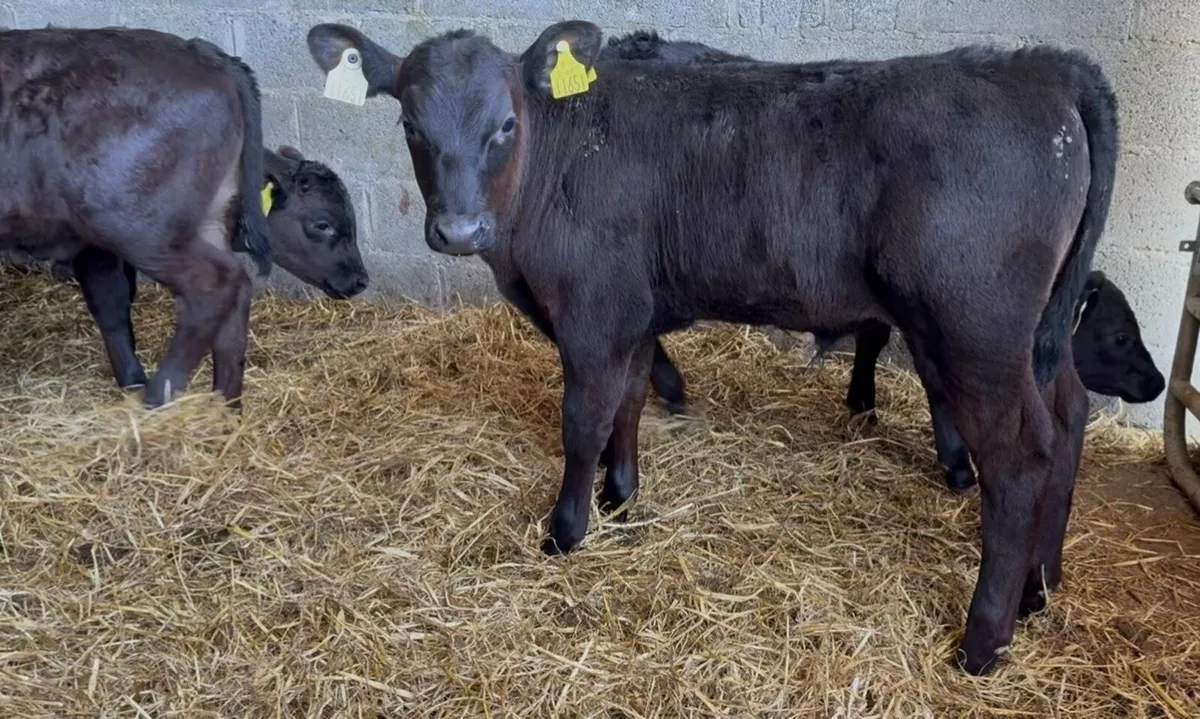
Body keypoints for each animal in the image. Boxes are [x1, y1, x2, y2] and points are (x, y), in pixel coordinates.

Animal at [1, 26, 274, 408]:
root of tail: (210, 55)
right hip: (205, 217)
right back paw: (224, 407)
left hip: (137, 226)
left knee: (215, 285)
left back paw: (158, 396)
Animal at [603, 31, 1164, 493]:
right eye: (1120, 336)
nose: (1157, 384)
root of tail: (1044, 64)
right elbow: (920, 370)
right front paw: (947, 456)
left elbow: (890, 349)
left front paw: (871, 407)